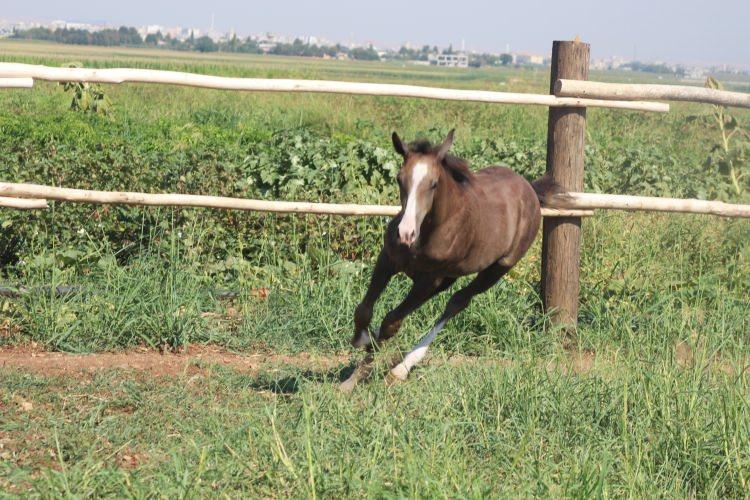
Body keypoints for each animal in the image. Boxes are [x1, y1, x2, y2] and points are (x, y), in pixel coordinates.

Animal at [342, 130, 548, 390]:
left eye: (434, 184)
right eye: (399, 179)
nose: (405, 234)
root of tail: (530, 189)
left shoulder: (430, 279)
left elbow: (392, 321)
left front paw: (362, 369)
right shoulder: (388, 260)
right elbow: (364, 310)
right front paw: (361, 345)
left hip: (496, 269)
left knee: (458, 302)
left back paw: (402, 368)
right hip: (450, 276)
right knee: (450, 300)